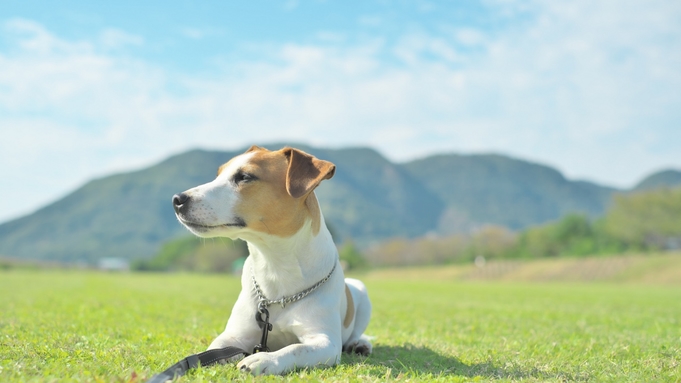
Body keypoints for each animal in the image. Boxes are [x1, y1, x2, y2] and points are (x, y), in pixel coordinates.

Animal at [170, 146, 372, 376]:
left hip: (362, 292)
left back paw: (360, 343)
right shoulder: (234, 335)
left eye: (245, 177)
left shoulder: (325, 342)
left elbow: (296, 348)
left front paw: (265, 359)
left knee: (356, 332)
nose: (177, 199)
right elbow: (216, 347)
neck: (274, 265)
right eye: (218, 175)